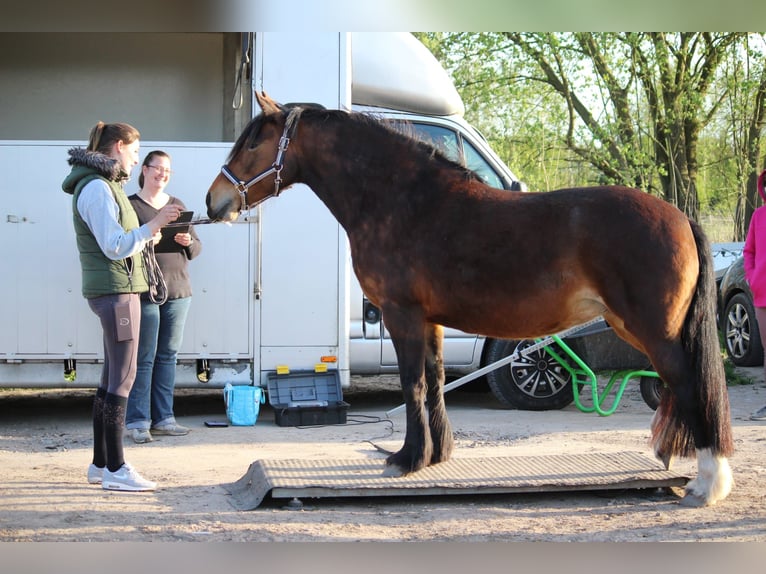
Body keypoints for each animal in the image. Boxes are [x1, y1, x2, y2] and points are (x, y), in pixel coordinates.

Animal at [207, 91, 736, 508]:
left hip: (654, 332)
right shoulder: (432, 321)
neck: (401, 202)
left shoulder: (401, 315)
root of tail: (680, 217)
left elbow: (413, 384)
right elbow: (437, 381)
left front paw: (405, 459)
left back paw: (707, 484)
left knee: (691, 386)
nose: (214, 202)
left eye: (252, 142)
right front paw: (436, 456)